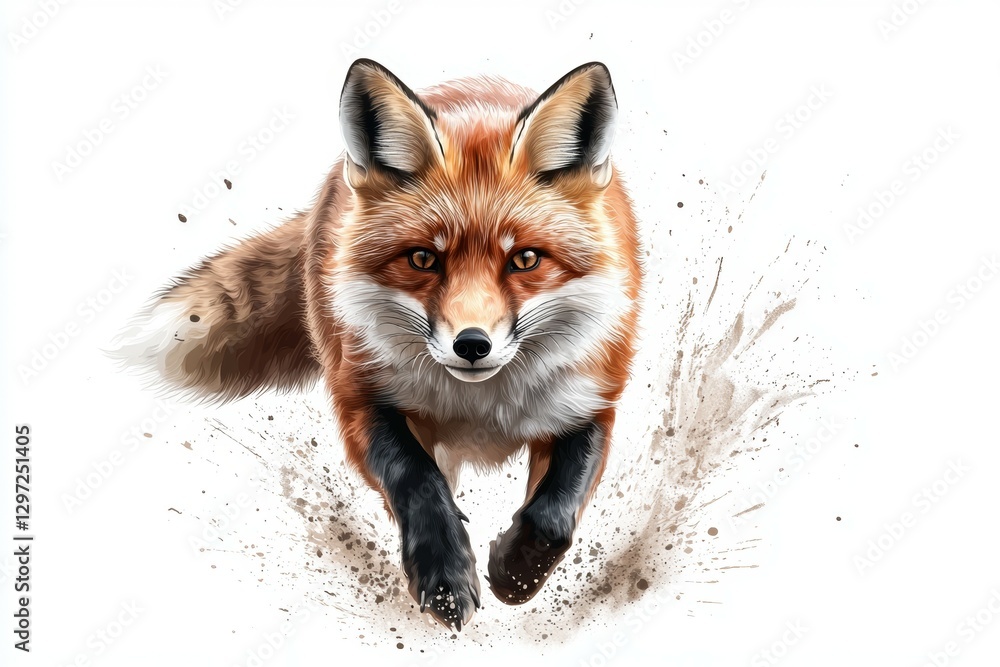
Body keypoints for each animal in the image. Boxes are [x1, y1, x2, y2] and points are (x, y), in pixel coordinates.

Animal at [113, 59, 641, 630]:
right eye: (423, 259)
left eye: (525, 259)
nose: (471, 345)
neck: (481, 405)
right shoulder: (361, 397)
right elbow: (415, 480)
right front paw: (445, 576)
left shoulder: (589, 401)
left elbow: (553, 516)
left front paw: (515, 574)